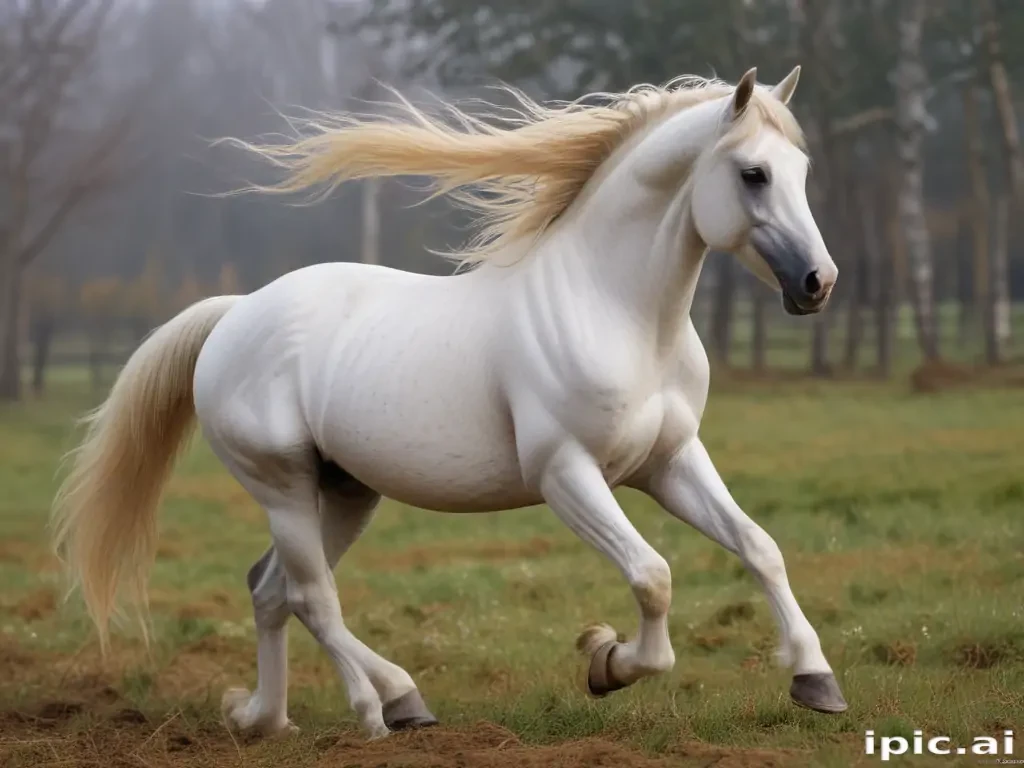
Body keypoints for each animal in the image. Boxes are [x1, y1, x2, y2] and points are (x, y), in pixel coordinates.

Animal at [51, 66, 843, 740]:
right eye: (752, 173)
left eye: (803, 171)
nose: (818, 282)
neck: (618, 314)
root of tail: (234, 314)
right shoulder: (568, 475)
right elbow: (653, 578)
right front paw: (606, 661)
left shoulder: (670, 463)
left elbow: (759, 548)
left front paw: (815, 681)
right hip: (283, 486)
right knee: (312, 598)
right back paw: (381, 707)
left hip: (345, 492)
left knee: (272, 591)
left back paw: (274, 719)